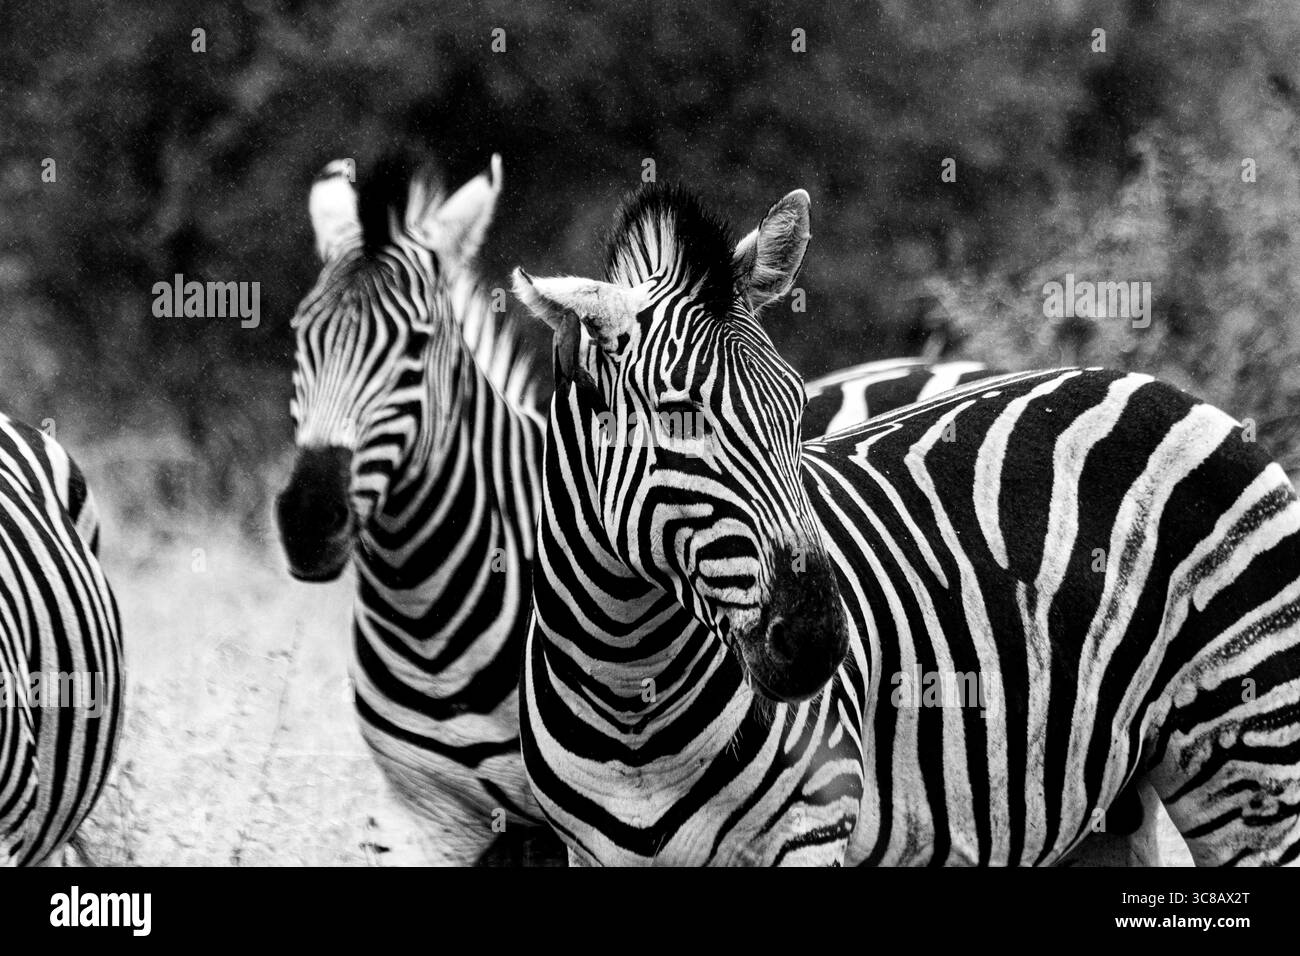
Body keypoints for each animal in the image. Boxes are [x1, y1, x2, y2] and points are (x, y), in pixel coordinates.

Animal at [511, 182, 1300, 866]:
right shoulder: (590, 854)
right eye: (680, 419)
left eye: (798, 410)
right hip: (1107, 802)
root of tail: (1163, 389)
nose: (818, 640)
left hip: (1253, 754)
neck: (631, 696)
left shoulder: (811, 828)